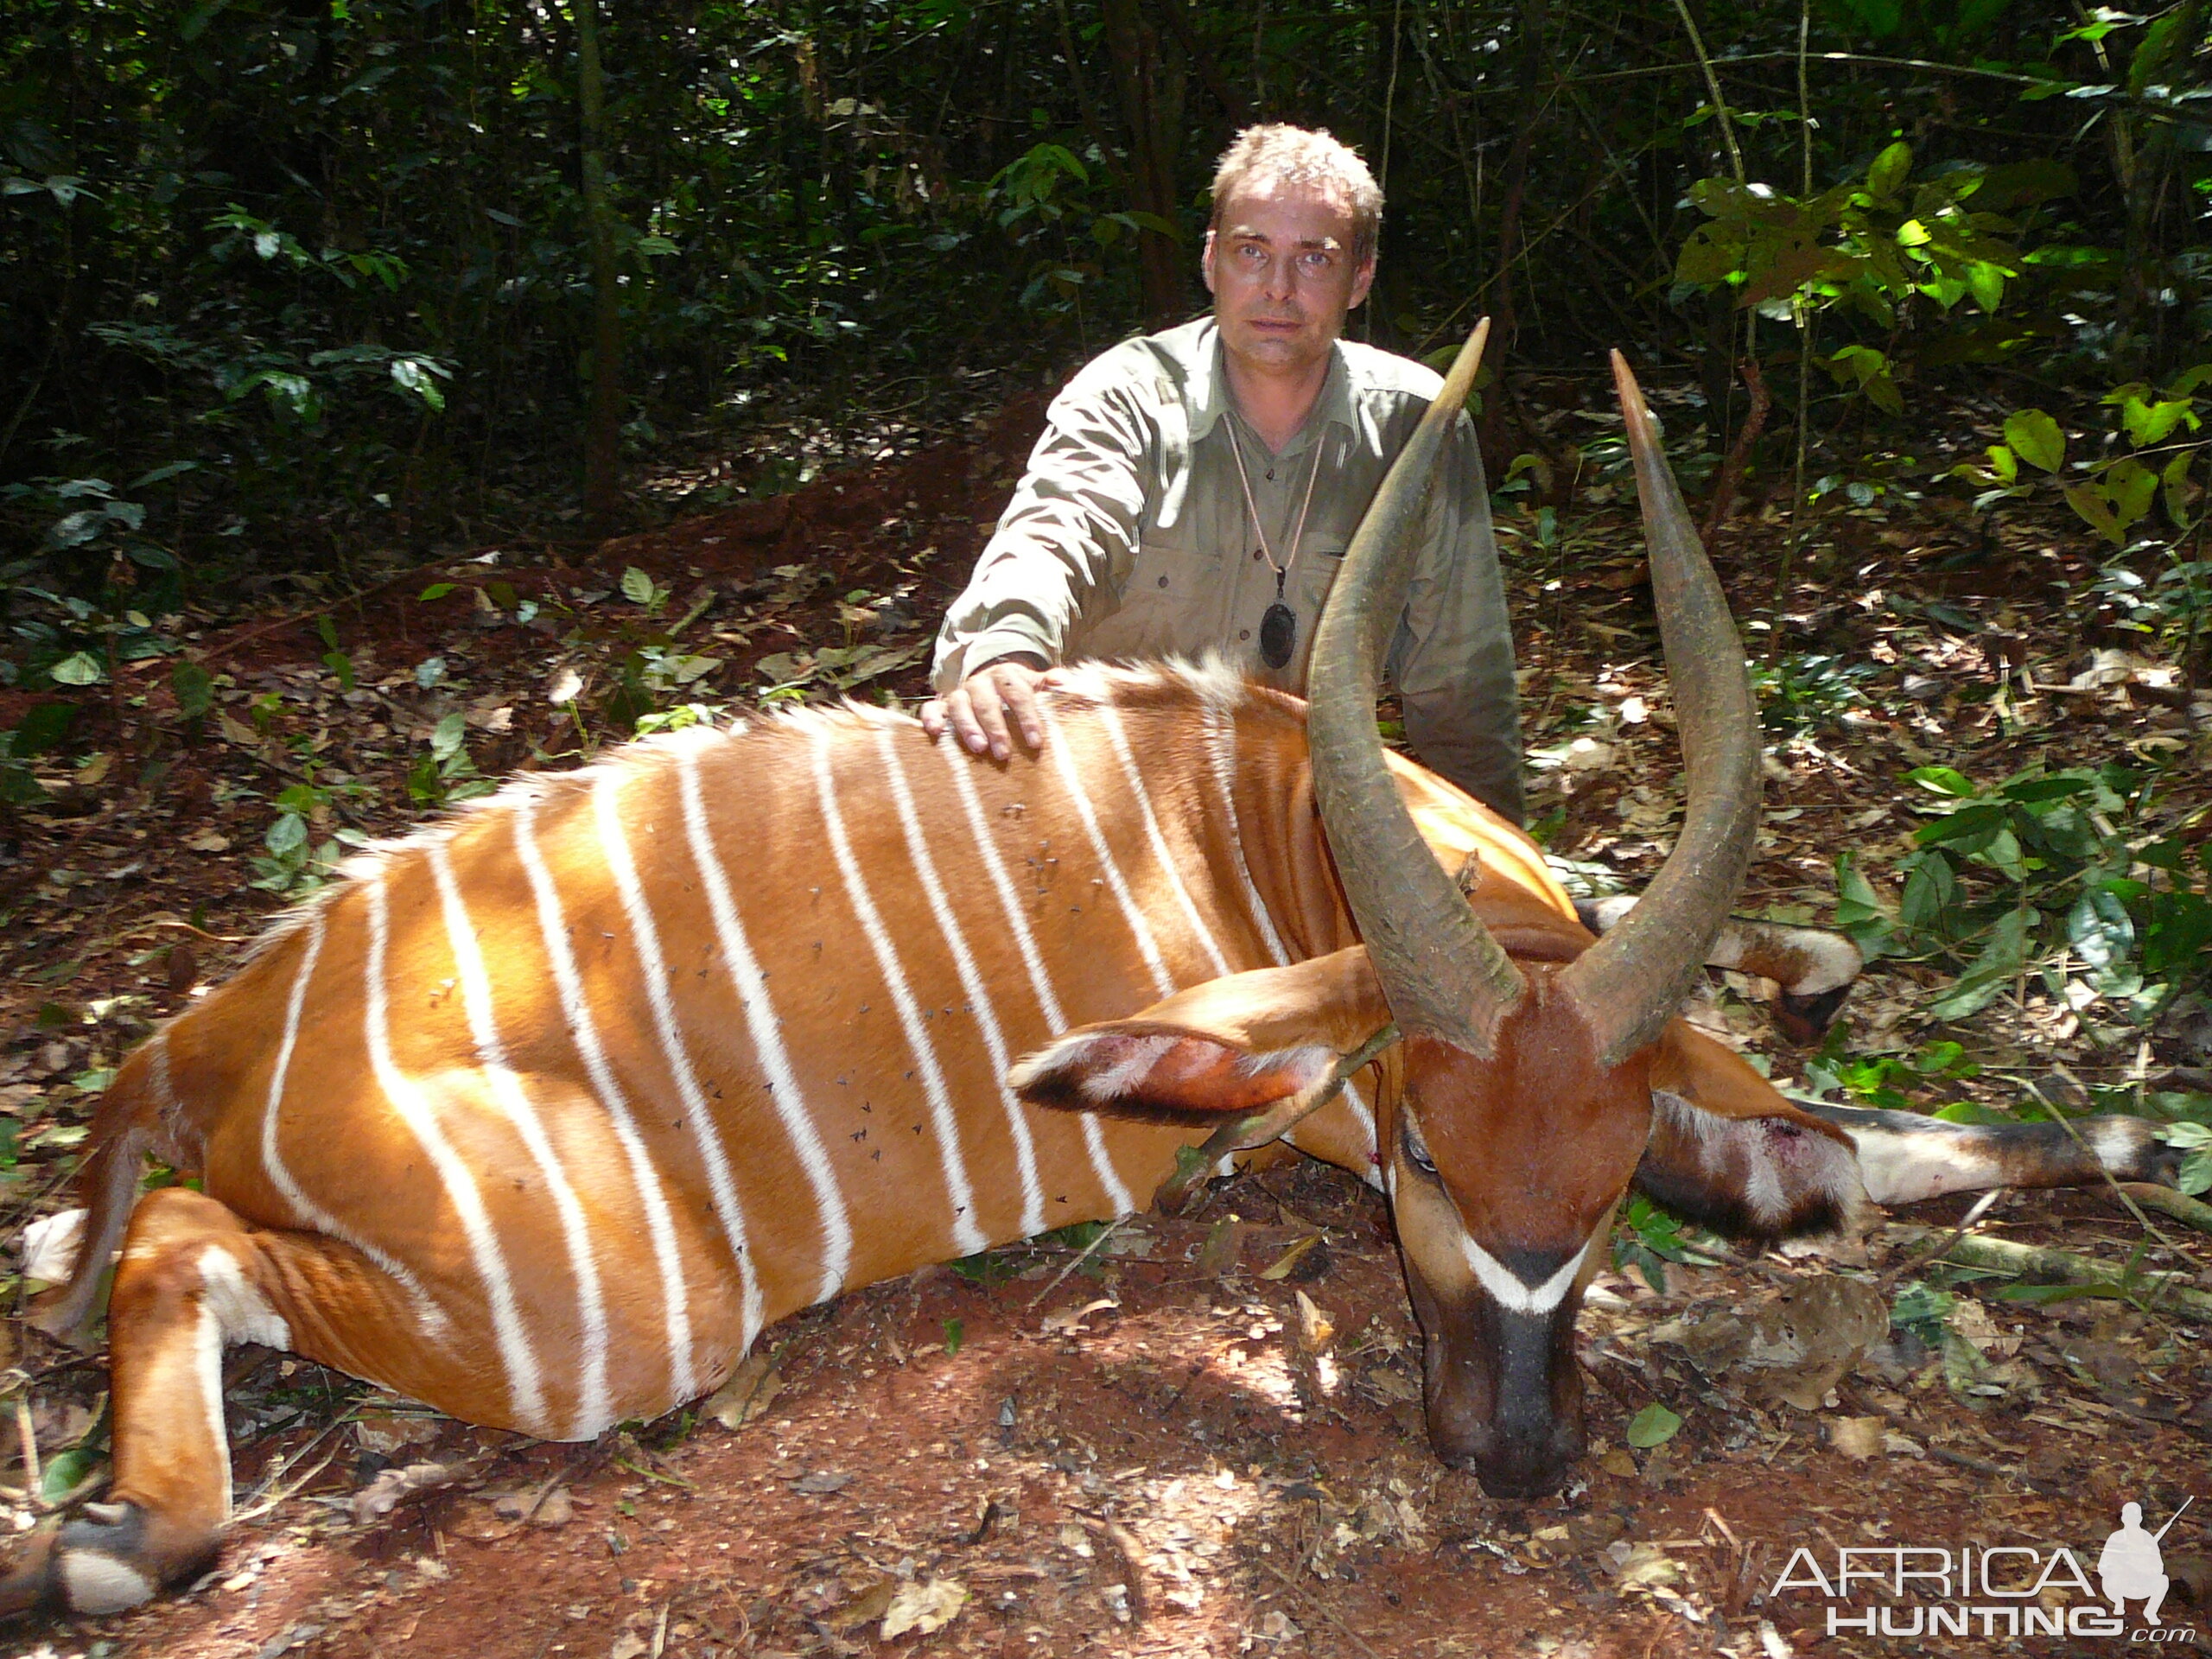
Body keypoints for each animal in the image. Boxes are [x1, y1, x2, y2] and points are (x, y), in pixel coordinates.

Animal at [4, 340, 2177, 1628]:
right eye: (1424, 1175)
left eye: (1573, 1200)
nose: (1513, 1463)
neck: (1262, 814)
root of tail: (190, 1038)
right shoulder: (1315, 1097)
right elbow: (1808, 1165)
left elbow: (1793, 1103)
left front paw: (2112, 1116)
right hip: (611, 1318)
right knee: (179, 1241)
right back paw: (108, 1541)